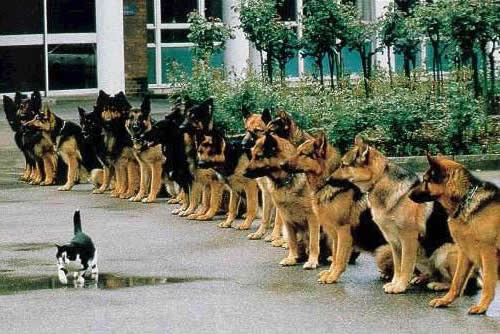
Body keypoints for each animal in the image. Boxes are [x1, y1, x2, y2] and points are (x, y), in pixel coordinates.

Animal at [282, 132, 386, 284]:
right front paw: (330, 273)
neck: (326, 184)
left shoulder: (343, 232)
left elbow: (340, 258)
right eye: (297, 151)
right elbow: (336, 257)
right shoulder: (335, 233)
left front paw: (333, 276)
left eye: (303, 154)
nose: (281, 164)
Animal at [330, 137, 456, 294]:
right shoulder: (394, 242)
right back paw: (422, 279)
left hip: (443, 252)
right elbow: (398, 266)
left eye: (343, 165)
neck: (379, 180)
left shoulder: (408, 239)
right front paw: (395, 283)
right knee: (432, 273)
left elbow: (405, 266)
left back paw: (440, 285)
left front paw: (400, 286)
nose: (327, 180)